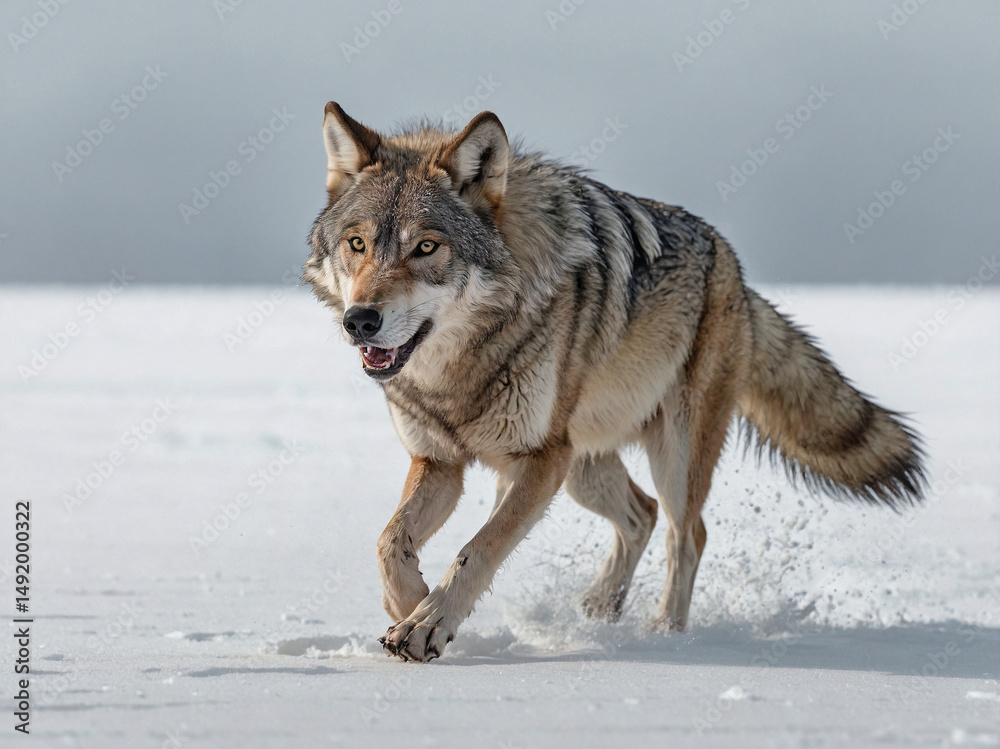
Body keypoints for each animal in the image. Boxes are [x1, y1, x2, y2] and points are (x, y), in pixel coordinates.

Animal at [303, 103, 925, 662]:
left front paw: (427, 623)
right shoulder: (440, 462)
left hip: (665, 457)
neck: (457, 372)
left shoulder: (539, 459)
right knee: (642, 515)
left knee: (685, 534)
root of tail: (736, 271)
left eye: (426, 247)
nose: (360, 320)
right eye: (357, 245)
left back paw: (665, 636)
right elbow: (389, 542)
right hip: (583, 467)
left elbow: (478, 549)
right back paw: (601, 608)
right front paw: (407, 604)